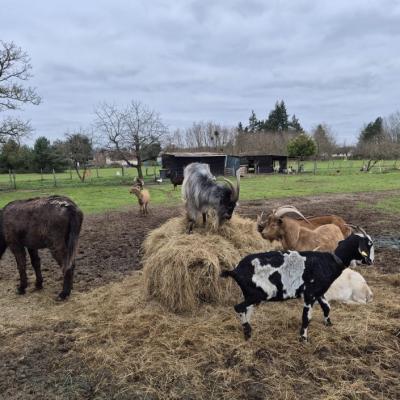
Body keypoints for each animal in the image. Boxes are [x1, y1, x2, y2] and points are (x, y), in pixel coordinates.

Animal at [221, 227, 374, 341]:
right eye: (368, 244)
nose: (371, 261)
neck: (330, 262)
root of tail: (235, 270)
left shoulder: (319, 293)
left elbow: (327, 307)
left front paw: (328, 324)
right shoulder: (309, 294)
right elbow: (306, 317)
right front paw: (303, 338)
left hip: (250, 295)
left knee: (246, 309)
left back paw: (248, 331)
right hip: (257, 294)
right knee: (239, 307)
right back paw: (247, 331)